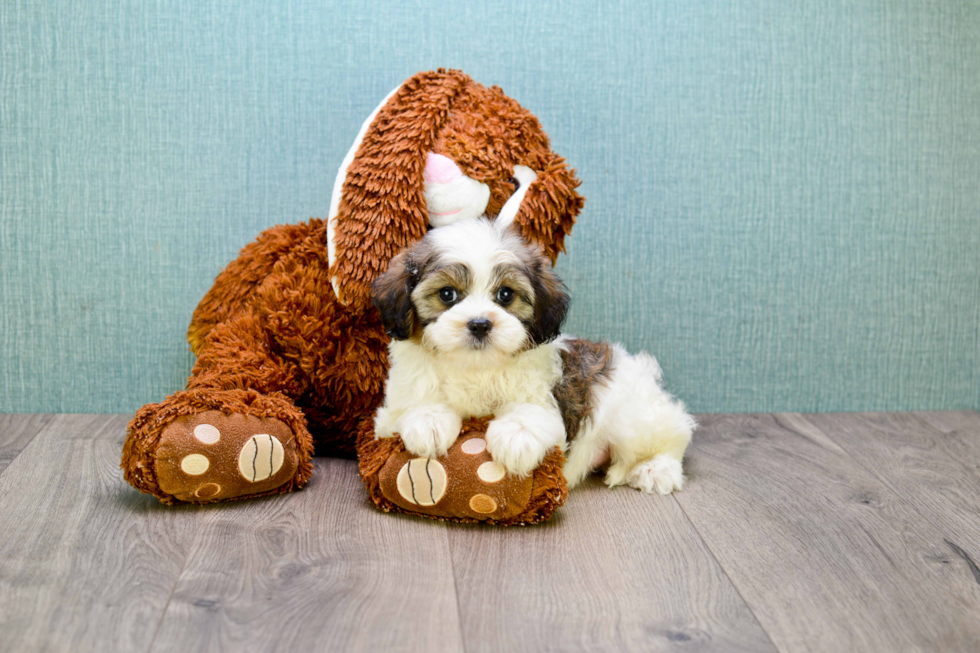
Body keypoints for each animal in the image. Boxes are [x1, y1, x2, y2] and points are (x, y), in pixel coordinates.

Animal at [370, 216, 696, 492]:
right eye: (447, 294)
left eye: (505, 294)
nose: (480, 324)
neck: (475, 368)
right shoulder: (392, 409)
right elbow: (412, 406)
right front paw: (429, 420)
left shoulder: (545, 398)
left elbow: (532, 412)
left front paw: (516, 436)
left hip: (633, 417)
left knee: (673, 437)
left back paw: (656, 469)